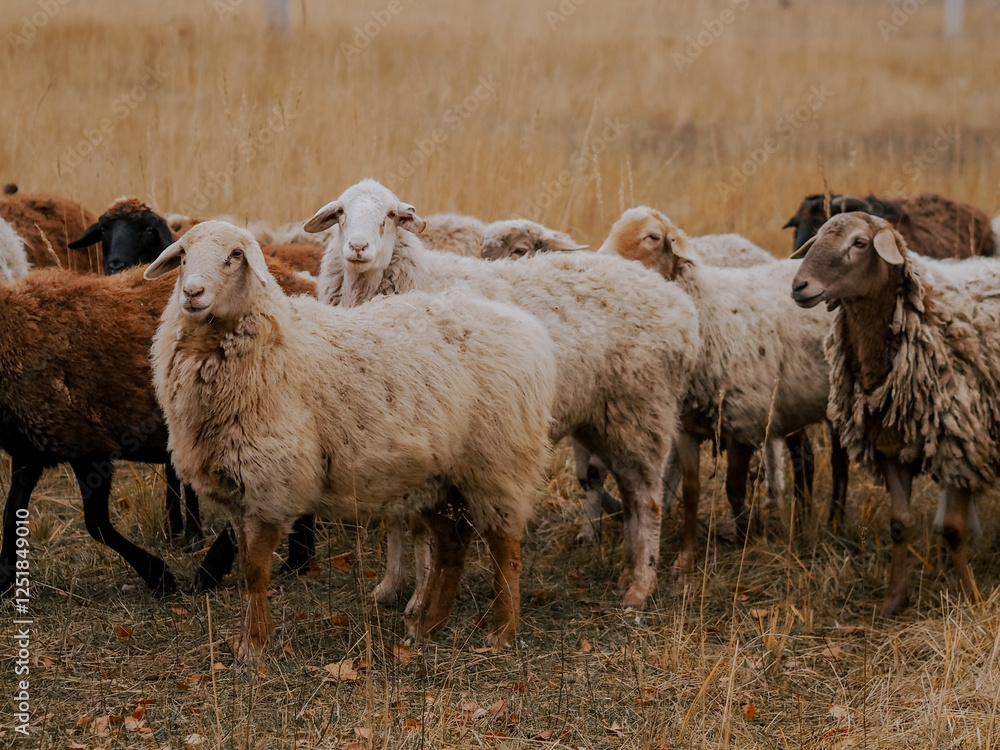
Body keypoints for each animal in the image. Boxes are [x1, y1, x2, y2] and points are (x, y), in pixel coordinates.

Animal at [0, 254, 315, 599]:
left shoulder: (89, 447)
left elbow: (96, 524)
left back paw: (211, 572)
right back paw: (296, 563)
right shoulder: (29, 447)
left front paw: (158, 576)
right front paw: (5, 582)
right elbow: (12, 510)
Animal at [145, 220, 558, 656]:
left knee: (505, 549)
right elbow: (246, 567)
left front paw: (254, 645)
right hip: (442, 475)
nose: (192, 293)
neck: (276, 344)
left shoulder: (271, 482)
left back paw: (501, 631)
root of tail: (528, 328)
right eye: (183, 254)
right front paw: (252, 639)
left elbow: (256, 571)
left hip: (499, 462)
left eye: (236, 255)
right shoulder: (239, 489)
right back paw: (428, 626)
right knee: (451, 546)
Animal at [305, 179, 701, 608]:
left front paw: (419, 597)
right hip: (605, 418)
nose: (358, 248)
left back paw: (641, 587)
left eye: (392, 215)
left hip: (642, 410)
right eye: (341, 213)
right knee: (630, 493)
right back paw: (628, 572)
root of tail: (679, 305)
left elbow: (417, 526)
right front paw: (388, 587)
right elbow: (395, 518)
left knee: (648, 498)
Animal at [596, 206, 841, 572]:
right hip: (792, 405)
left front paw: (745, 539)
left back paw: (834, 518)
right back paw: (803, 519)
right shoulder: (687, 427)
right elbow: (692, 491)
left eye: (653, 237)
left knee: (837, 457)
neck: (709, 316)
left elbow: (734, 489)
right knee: (805, 457)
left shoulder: (742, 425)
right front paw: (687, 556)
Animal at [791, 212, 1000, 615]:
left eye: (859, 243)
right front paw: (894, 600)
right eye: (818, 236)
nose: (798, 286)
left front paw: (972, 598)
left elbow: (953, 529)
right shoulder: (888, 447)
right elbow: (899, 525)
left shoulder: (960, 443)